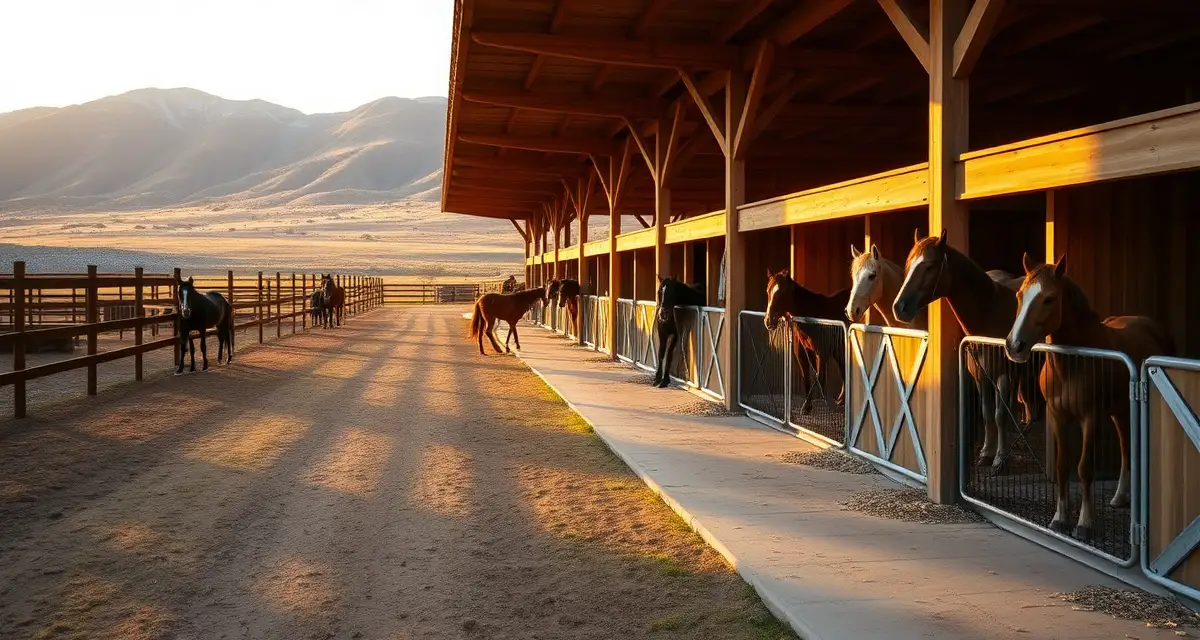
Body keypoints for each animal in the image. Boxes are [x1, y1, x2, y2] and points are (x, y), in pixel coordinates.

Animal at [764, 269, 850, 412]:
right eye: (768, 291)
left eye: (783, 292)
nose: (769, 321)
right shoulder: (802, 353)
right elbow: (807, 377)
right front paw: (807, 407)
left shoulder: (822, 353)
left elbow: (818, 377)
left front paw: (823, 404)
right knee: (844, 369)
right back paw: (841, 400)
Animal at [892, 229, 1035, 474]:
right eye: (909, 264)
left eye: (929, 266)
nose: (899, 307)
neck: (990, 312)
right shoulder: (980, 375)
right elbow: (987, 412)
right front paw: (986, 453)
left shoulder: (1003, 375)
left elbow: (999, 415)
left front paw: (1000, 459)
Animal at [1004, 253, 1175, 539]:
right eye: (1019, 295)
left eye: (1049, 298)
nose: (1014, 346)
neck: (1070, 365)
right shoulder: (1057, 416)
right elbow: (1062, 466)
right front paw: (1060, 519)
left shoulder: (1090, 418)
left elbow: (1084, 468)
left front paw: (1085, 524)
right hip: (1119, 411)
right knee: (1125, 448)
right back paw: (1119, 497)